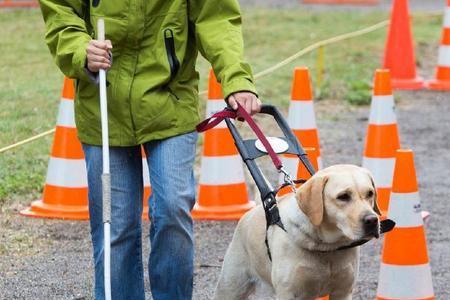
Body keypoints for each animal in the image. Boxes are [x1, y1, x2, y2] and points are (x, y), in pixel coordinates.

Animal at [214, 165, 380, 298]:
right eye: (343, 196)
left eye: (370, 193)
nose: (372, 220)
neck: (327, 247)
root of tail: (255, 209)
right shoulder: (288, 293)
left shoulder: (343, 291)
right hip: (230, 287)